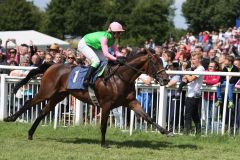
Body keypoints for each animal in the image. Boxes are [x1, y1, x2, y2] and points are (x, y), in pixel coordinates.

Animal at [3, 48, 170, 146]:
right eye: (155, 63)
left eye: (163, 62)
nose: (166, 80)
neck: (120, 77)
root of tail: (52, 65)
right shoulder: (106, 105)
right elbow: (103, 125)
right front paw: (103, 144)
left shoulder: (131, 102)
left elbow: (148, 117)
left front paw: (165, 131)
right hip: (47, 91)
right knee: (29, 103)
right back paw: (10, 118)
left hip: (58, 95)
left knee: (43, 112)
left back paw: (30, 133)